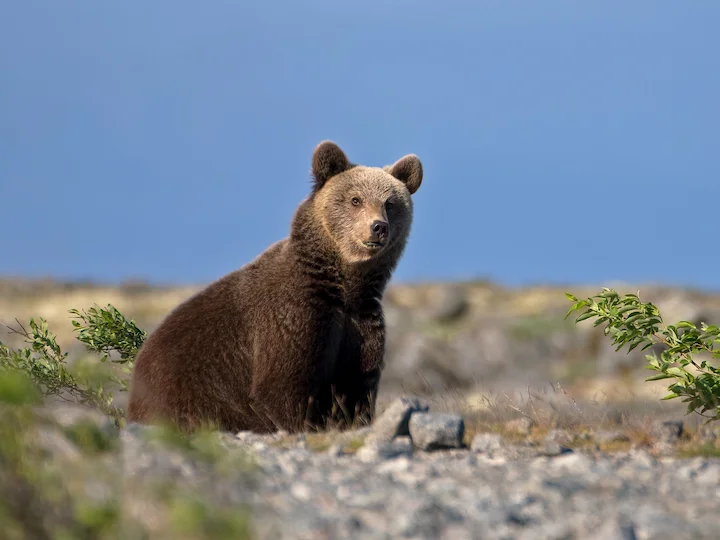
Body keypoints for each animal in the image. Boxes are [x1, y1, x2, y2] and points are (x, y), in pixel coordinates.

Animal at [126, 140, 423, 434]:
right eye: (355, 199)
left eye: (390, 203)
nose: (378, 227)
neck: (341, 287)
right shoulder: (292, 318)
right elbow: (281, 387)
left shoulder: (361, 323)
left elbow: (356, 387)